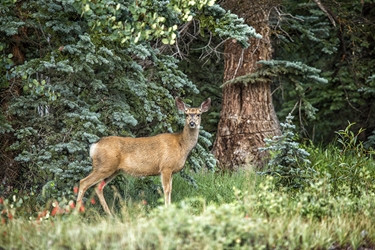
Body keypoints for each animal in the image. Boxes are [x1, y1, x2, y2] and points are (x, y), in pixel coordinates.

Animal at [76, 97, 212, 215]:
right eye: (186, 114)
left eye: (199, 114)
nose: (192, 123)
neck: (181, 145)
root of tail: (94, 146)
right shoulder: (165, 167)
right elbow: (166, 189)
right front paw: (167, 210)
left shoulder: (171, 171)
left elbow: (170, 189)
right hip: (104, 166)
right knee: (83, 182)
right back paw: (76, 213)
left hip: (113, 170)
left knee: (98, 186)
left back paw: (109, 214)